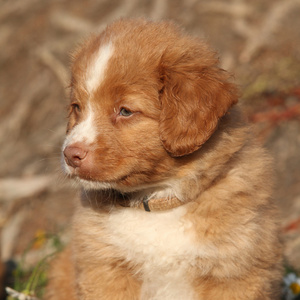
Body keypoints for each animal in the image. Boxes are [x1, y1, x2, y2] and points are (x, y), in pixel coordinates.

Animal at [44, 19, 282, 300]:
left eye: (125, 111)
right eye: (77, 108)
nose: (70, 154)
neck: (156, 201)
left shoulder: (234, 270)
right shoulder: (104, 269)